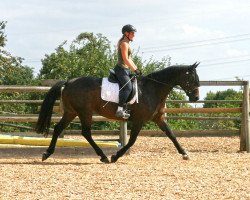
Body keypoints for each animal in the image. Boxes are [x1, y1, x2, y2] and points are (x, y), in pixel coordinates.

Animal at [35, 62, 200, 162]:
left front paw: (184, 153)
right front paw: (115, 156)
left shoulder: (158, 118)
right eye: (193, 79)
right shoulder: (139, 120)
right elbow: (132, 141)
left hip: (71, 112)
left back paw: (47, 153)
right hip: (84, 112)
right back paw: (104, 156)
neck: (152, 88)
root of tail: (69, 82)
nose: (196, 98)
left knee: (59, 128)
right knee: (86, 133)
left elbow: (171, 135)